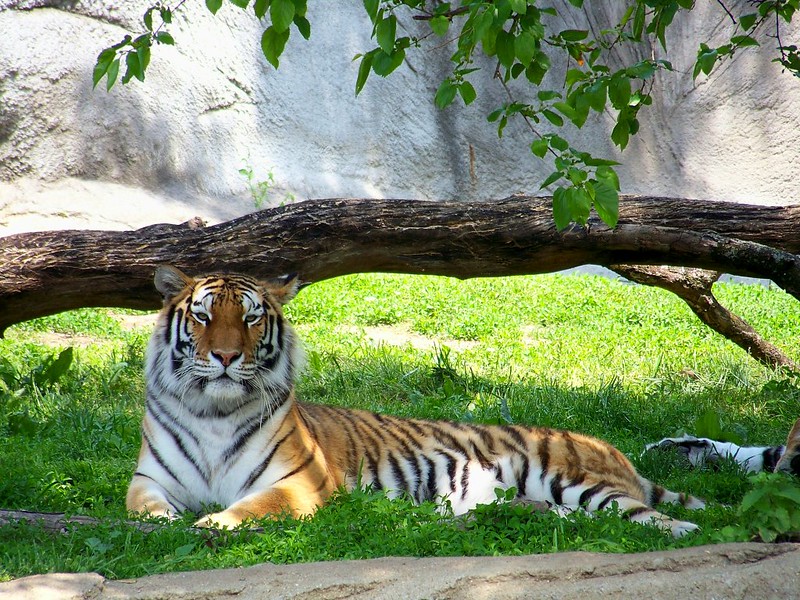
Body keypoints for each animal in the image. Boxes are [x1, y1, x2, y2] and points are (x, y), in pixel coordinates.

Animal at [127, 266, 706, 537]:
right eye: (203, 316)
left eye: (250, 318)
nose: (226, 356)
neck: (214, 412)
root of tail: (611, 449)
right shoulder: (149, 479)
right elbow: (147, 509)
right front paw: (167, 523)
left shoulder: (299, 482)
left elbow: (253, 507)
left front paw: (212, 524)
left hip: (579, 481)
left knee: (648, 515)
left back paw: (680, 530)